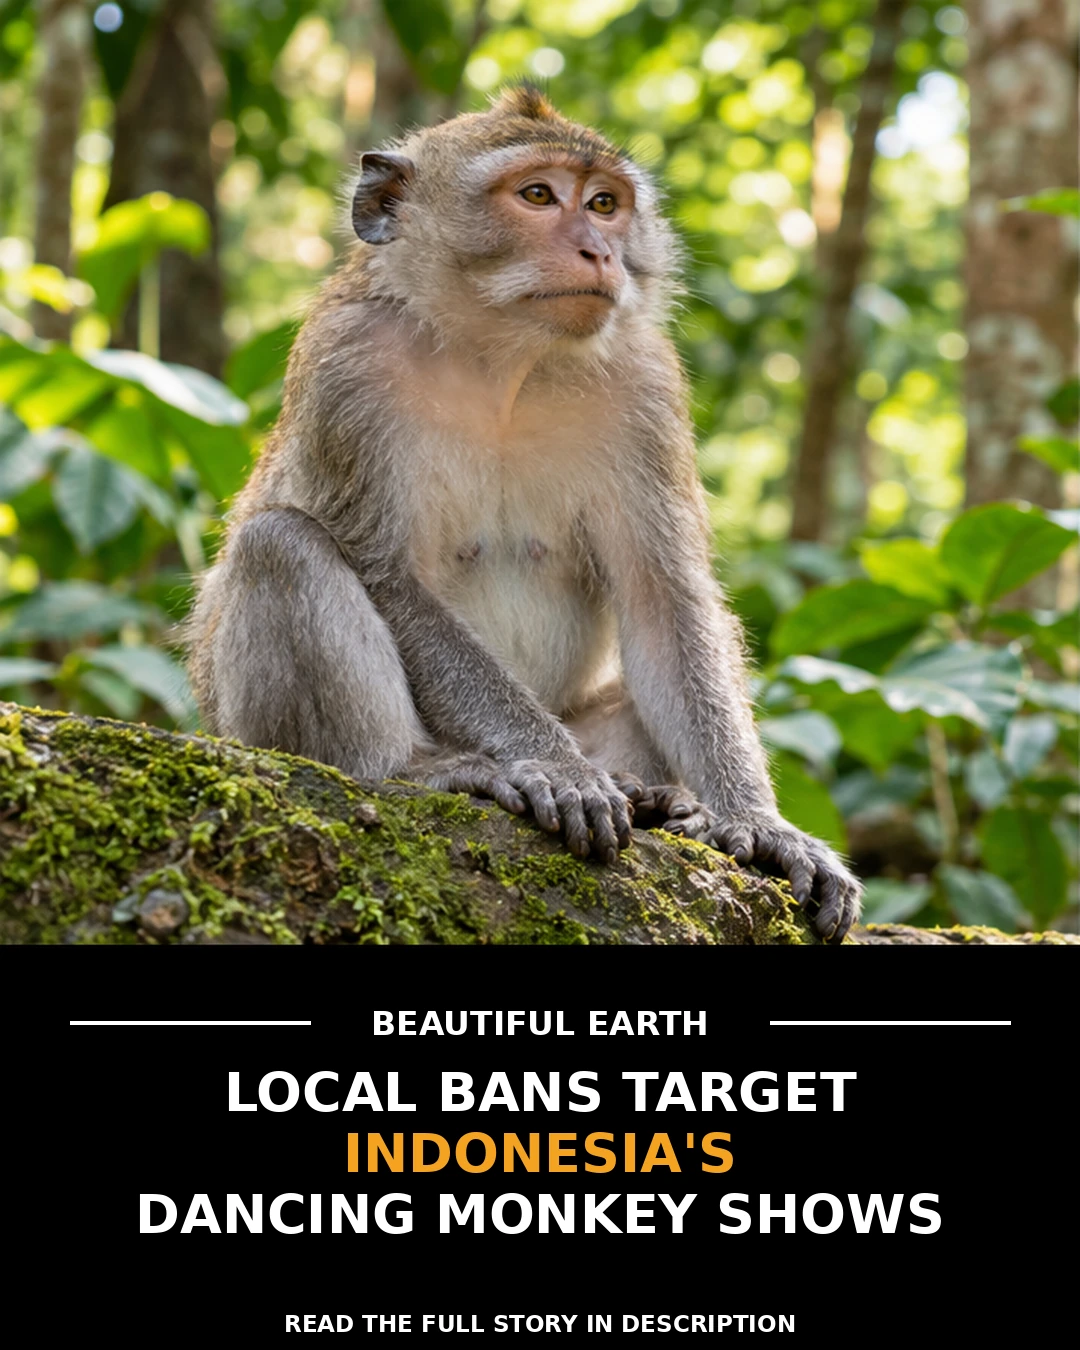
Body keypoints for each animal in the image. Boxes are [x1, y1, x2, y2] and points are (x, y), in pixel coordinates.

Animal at [188, 85, 862, 943]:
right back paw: (419, 770)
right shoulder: (348, 367)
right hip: (246, 733)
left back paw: (657, 795)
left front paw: (760, 824)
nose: (600, 252)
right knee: (280, 545)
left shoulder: (646, 385)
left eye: (604, 204)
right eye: (538, 196)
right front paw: (563, 770)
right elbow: (387, 575)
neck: (504, 358)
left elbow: (664, 598)